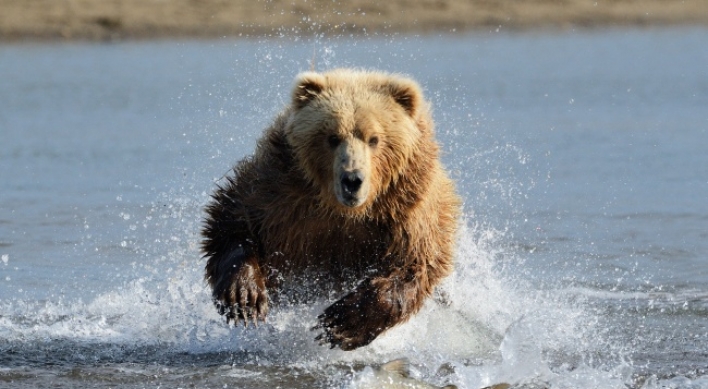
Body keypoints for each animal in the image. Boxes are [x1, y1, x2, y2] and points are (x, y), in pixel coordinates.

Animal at [202, 68, 462, 350]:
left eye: (374, 139)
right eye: (332, 137)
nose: (352, 180)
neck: (344, 211)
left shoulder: (406, 210)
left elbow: (413, 264)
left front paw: (340, 324)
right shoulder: (281, 191)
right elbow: (234, 218)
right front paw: (244, 297)